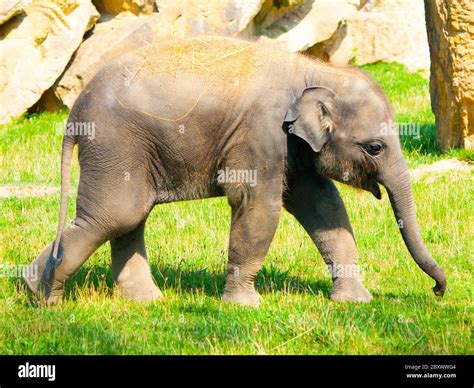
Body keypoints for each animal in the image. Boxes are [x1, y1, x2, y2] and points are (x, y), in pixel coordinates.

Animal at [24, 38, 446, 308]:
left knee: (130, 217)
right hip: (115, 146)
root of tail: (74, 114)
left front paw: (356, 301)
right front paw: (245, 305)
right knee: (116, 215)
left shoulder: (294, 147)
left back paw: (133, 300)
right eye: (375, 147)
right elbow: (258, 205)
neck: (315, 70)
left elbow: (324, 207)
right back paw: (44, 296)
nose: (438, 292)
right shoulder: (260, 134)